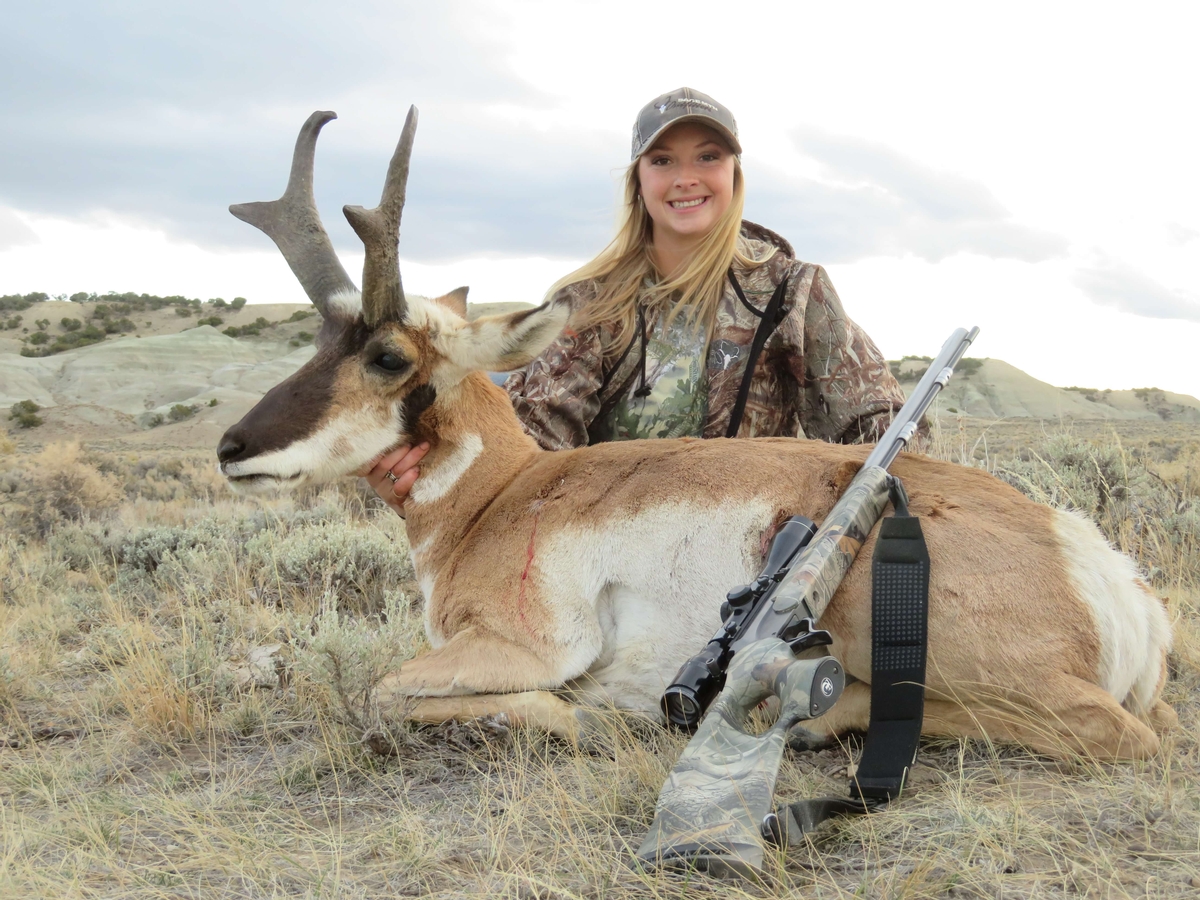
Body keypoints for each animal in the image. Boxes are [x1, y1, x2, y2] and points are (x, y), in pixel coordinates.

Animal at [217, 108, 1175, 760]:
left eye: (385, 355)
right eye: (318, 341)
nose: (232, 450)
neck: (506, 497)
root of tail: (1097, 565)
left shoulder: (521, 647)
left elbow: (383, 692)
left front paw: (577, 717)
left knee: (1118, 732)